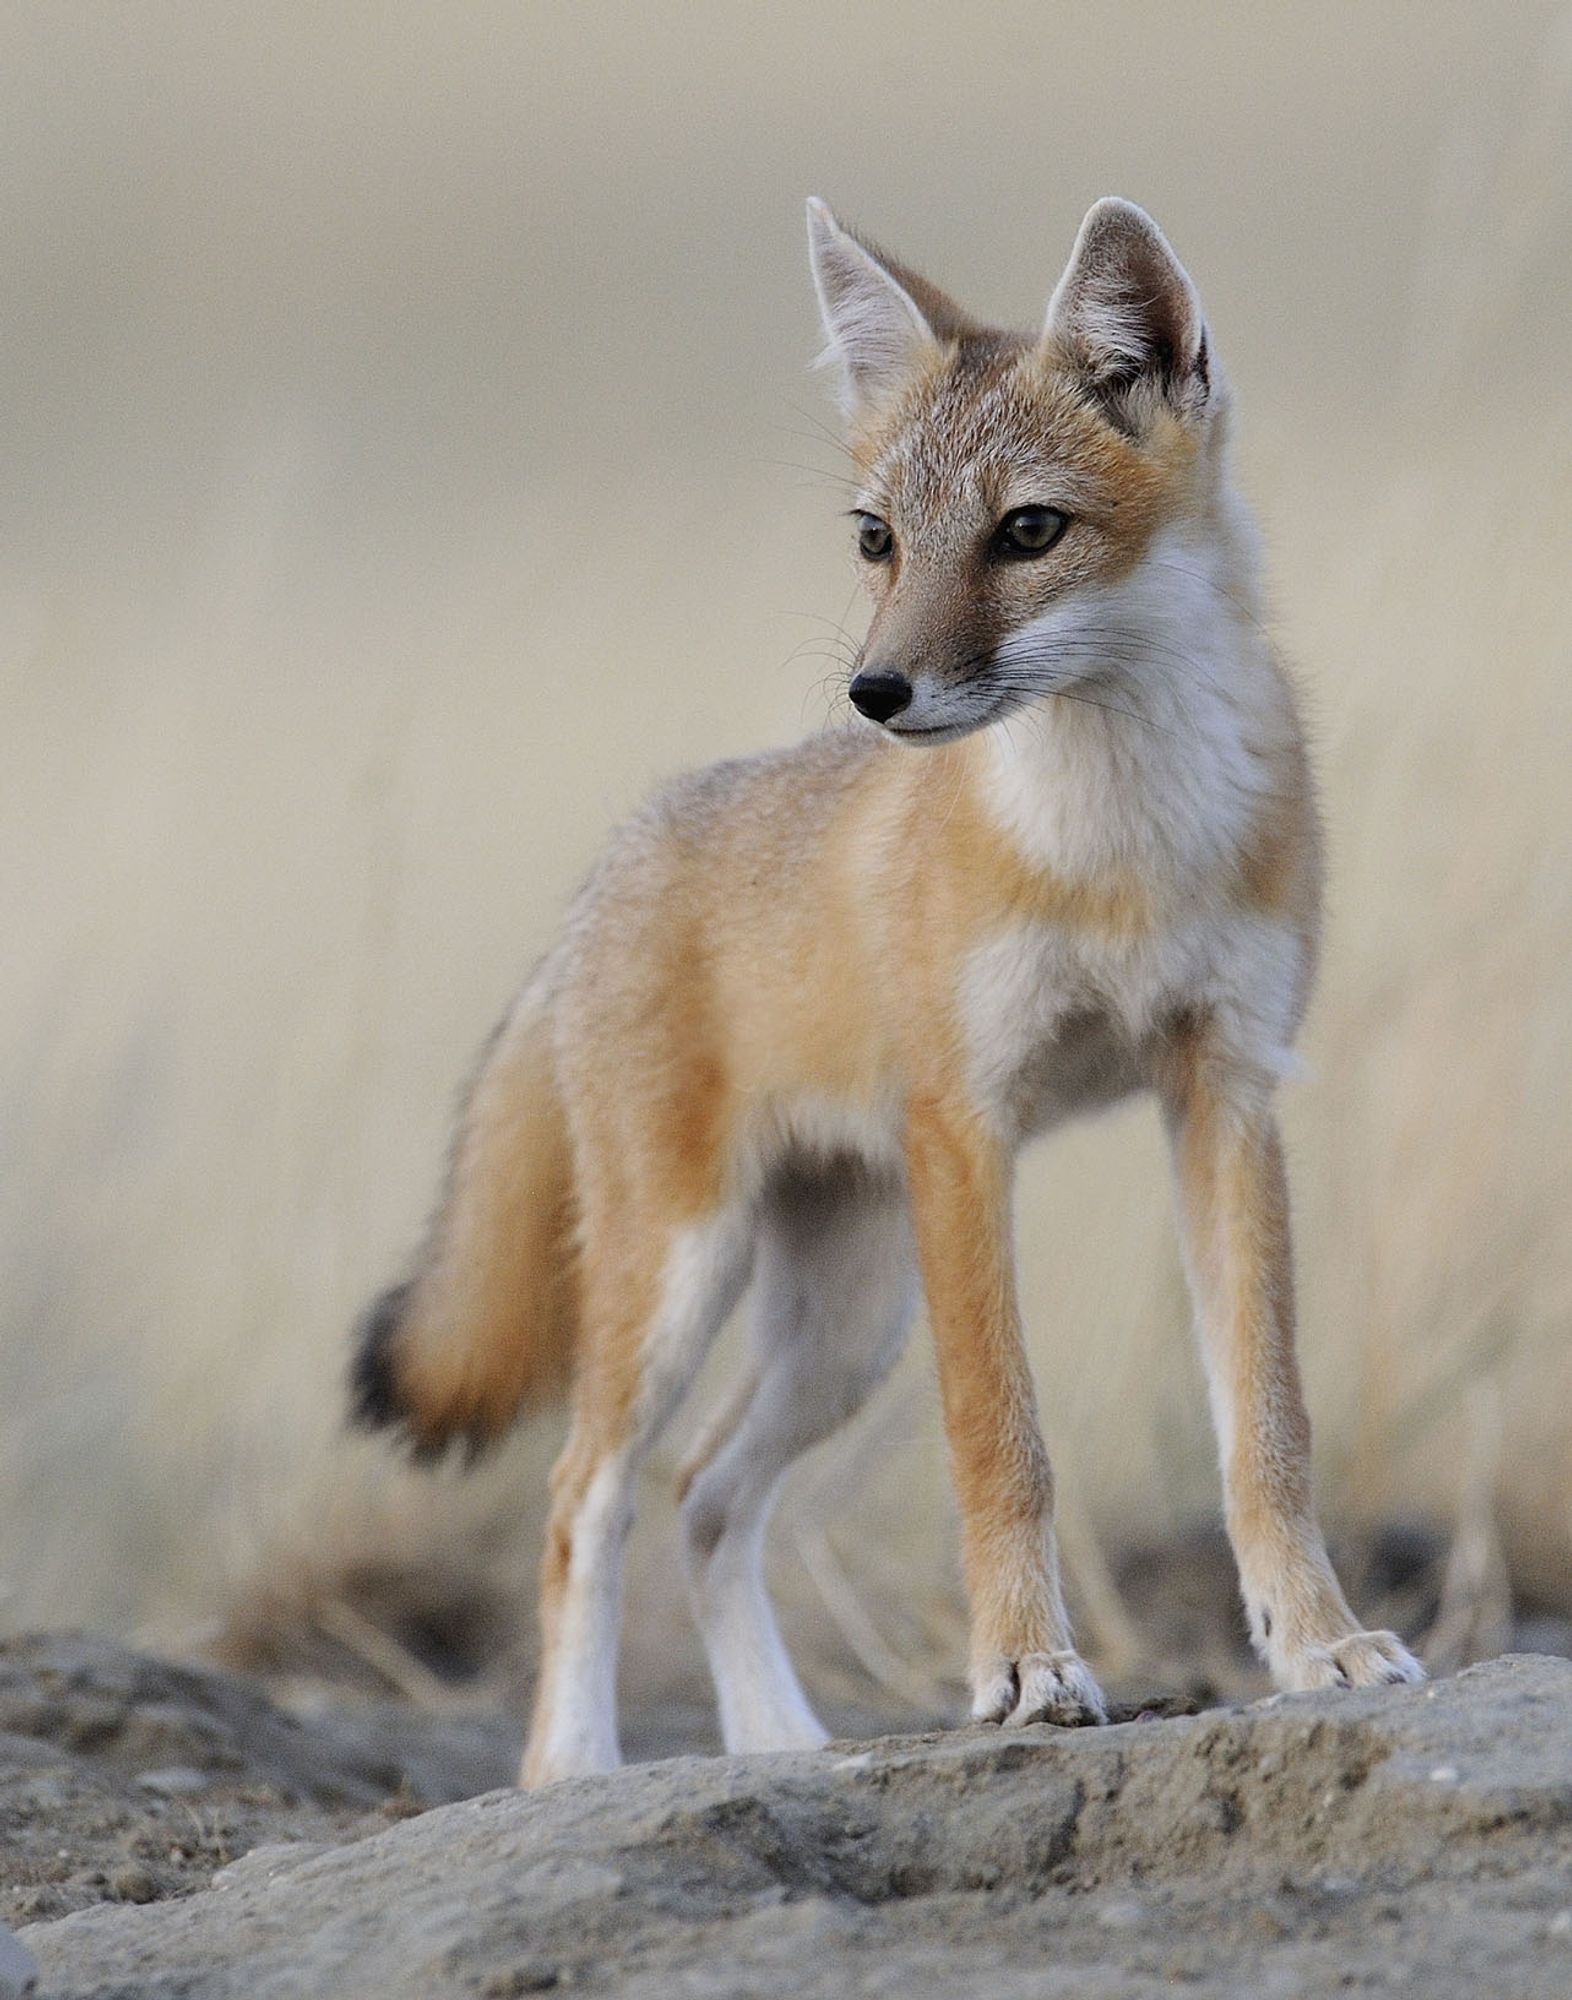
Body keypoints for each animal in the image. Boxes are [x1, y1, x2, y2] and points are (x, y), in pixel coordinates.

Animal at [352, 195, 1424, 1792]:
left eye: (1027, 530)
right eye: (878, 539)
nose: (875, 693)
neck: (1117, 850)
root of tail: (619, 853)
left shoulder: (1226, 1090)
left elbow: (1270, 1427)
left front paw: (1317, 1644)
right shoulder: (966, 1128)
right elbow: (1001, 1436)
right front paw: (1027, 1671)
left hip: (843, 1327)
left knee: (706, 1493)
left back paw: (776, 1744)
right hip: (682, 1282)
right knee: (583, 1494)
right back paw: (574, 1766)